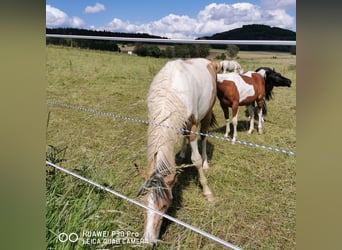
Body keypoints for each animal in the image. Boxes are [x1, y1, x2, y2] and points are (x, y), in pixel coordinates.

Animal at [138, 57, 218, 243]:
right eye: (143, 202)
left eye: (165, 205)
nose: (149, 240)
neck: (171, 90)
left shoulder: (192, 124)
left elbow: (196, 160)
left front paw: (207, 192)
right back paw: (181, 153)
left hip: (206, 114)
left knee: (204, 138)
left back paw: (206, 163)